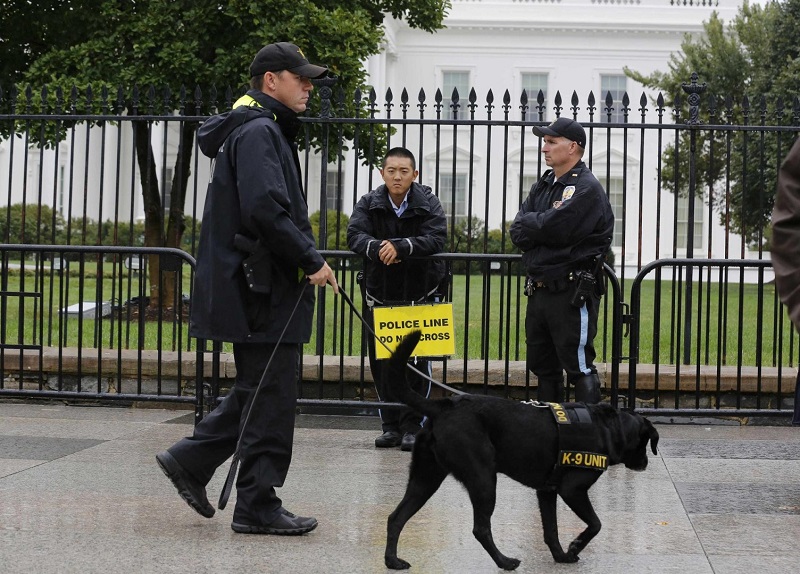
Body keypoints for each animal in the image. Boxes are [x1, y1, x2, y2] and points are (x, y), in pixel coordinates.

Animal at [384, 330, 660, 572]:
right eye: (646, 442)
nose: (646, 463)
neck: (608, 428)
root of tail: (443, 407)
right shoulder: (572, 489)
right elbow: (595, 523)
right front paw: (575, 546)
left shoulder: (547, 491)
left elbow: (551, 530)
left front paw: (561, 556)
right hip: (483, 479)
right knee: (480, 528)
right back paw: (505, 562)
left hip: (426, 478)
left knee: (395, 517)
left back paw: (392, 561)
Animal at [510, 117, 616, 404]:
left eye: (552, 140)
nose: (544, 148)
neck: (561, 178)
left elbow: (543, 221)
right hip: (539, 328)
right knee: (548, 371)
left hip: (572, 322)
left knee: (582, 373)